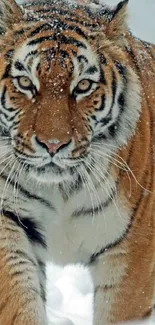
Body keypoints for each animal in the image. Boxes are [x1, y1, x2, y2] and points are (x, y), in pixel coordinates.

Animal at [0, 0, 155, 322]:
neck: (61, 189)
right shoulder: (8, 220)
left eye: (83, 86)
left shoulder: (133, 250)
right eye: (25, 82)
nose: (53, 145)